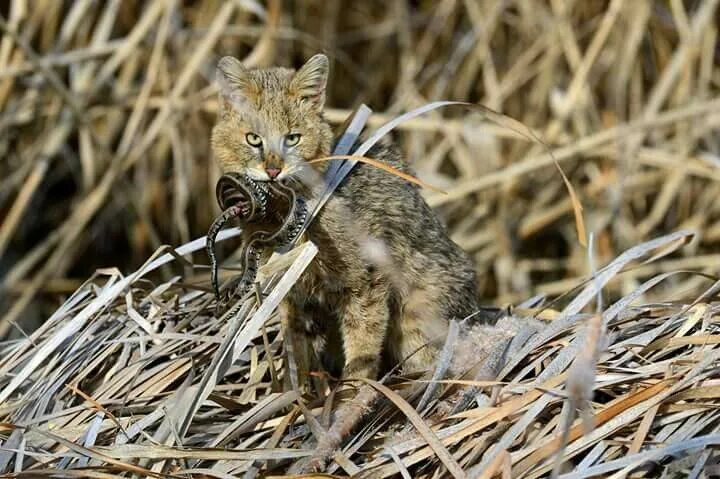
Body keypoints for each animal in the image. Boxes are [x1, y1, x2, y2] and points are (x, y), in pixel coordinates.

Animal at [211, 52, 480, 384]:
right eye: (253, 139)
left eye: (292, 139)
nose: (273, 170)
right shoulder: (290, 295)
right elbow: (296, 354)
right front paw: (295, 391)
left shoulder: (368, 281)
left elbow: (363, 345)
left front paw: (353, 391)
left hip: (417, 319)